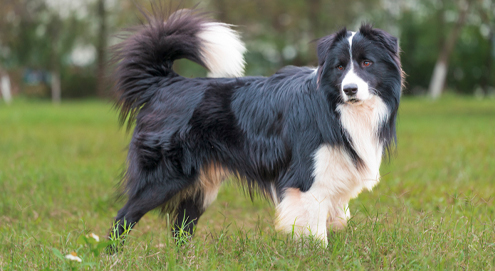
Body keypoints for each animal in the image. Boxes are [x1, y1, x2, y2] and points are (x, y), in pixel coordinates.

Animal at [109, 6, 404, 246]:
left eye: (366, 63)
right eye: (340, 67)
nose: (350, 89)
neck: (336, 108)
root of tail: (165, 82)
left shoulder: (335, 174)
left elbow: (336, 220)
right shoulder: (306, 179)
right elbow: (316, 232)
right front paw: (316, 256)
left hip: (201, 182)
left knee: (182, 227)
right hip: (166, 176)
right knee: (123, 218)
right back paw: (113, 256)